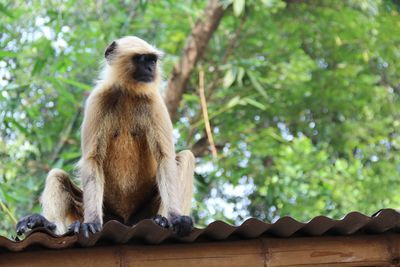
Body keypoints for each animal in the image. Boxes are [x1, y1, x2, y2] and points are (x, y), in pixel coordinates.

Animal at [16, 36, 195, 239]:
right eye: (142, 60)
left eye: (153, 60)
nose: (151, 69)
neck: (127, 92)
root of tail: (126, 221)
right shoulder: (98, 99)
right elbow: (92, 159)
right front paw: (91, 222)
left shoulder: (154, 102)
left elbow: (165, 158)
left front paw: (176, 218)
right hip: (104, 213)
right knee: (57, 175)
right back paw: (49, 224)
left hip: (144, 212)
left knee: (185, 156)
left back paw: (162, 220)